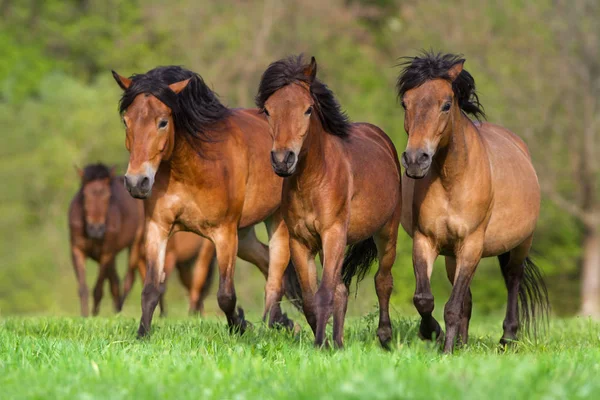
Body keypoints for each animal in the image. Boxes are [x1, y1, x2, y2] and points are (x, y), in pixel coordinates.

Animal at [68, 162, 144, 316]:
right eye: (85, 195)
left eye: (108, 196)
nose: (96, 229)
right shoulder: (77, 250)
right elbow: (83, 288)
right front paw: (85, 315)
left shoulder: (106, 253)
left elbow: (98, 289)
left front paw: (94, 316)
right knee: (115, 283)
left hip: (134, 246)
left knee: (127, 280)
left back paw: (119, 310)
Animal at [110, 65, 302, 338]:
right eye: (126, 121)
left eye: (163, 122)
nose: (137, 182)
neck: (191, 169)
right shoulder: (158, 227)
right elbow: (151, 290)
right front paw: (142, 336)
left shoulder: (223, 234)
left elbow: (225, 295)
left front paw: (239, 327)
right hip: (244, 236)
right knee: (268, 263)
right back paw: (285, 322)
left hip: (275, 224)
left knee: (275, 276)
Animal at [256, 54, 404, 348]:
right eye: (268, 110)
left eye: (307, 110)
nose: (282, 160)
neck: (312, 181)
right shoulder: (300, 242)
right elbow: (311, 299)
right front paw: (324, 342)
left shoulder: (332, 233)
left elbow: (324, 293)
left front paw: (319, 346)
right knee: (342, 290)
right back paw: (339, 342)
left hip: (387, 232)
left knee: (382, 281)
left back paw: (384, 336)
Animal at [396, 50, 552, 354]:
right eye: (405, 103)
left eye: (446, 105)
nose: (416, 159)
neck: (451, 180)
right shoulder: (425, 240)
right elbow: (424, 299)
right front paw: (433, 334)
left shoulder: (471, 244)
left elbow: (453, 306)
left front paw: (445, 350)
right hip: (451, 255)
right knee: (466, 298)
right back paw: (462, 343)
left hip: (520, 244)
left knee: (512, 280)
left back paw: (507, 339)